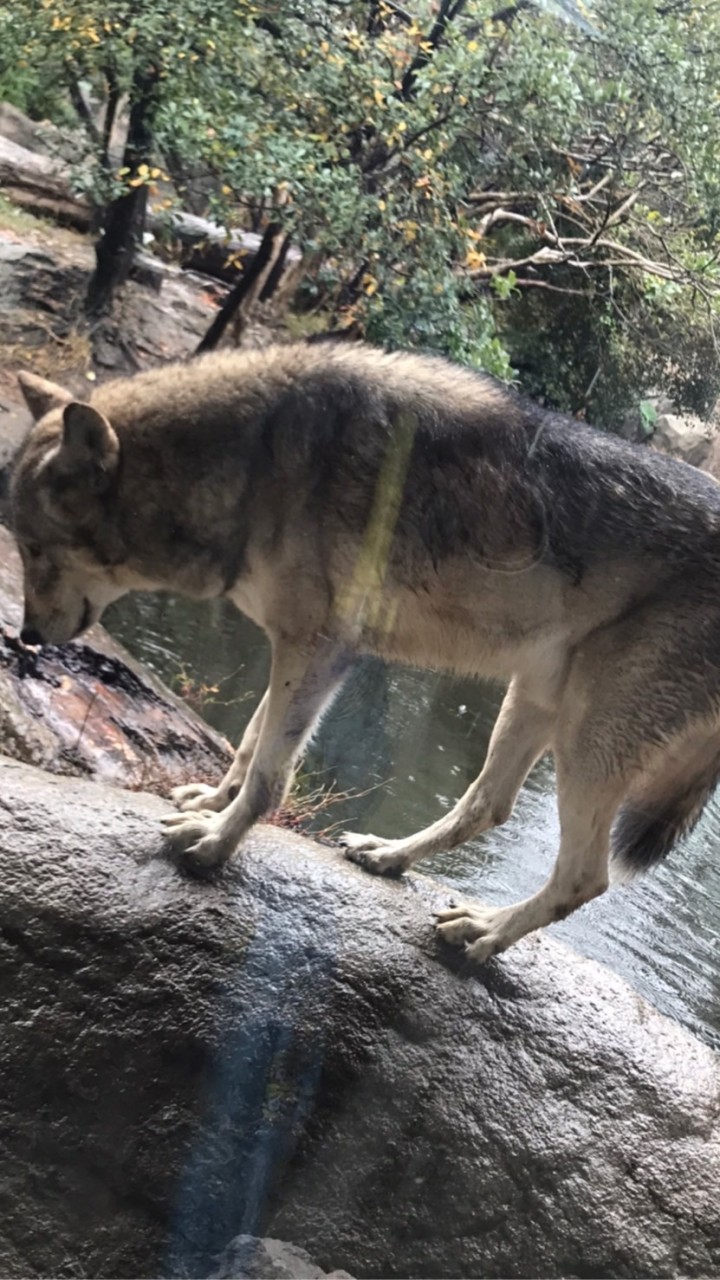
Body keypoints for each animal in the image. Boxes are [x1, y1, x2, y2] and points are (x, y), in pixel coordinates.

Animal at [8, 340, 717, 962]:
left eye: (35, 547)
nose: (28, 638)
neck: (254, 460)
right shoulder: (293, 647)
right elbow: (249, 744)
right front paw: (210, 802)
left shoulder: (320, 648)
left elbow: (269, 775)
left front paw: (213, 844)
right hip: (536, 703)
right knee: (487, 807)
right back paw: (388, 856)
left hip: (589, 743)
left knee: (584, 877)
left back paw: (484, 930)